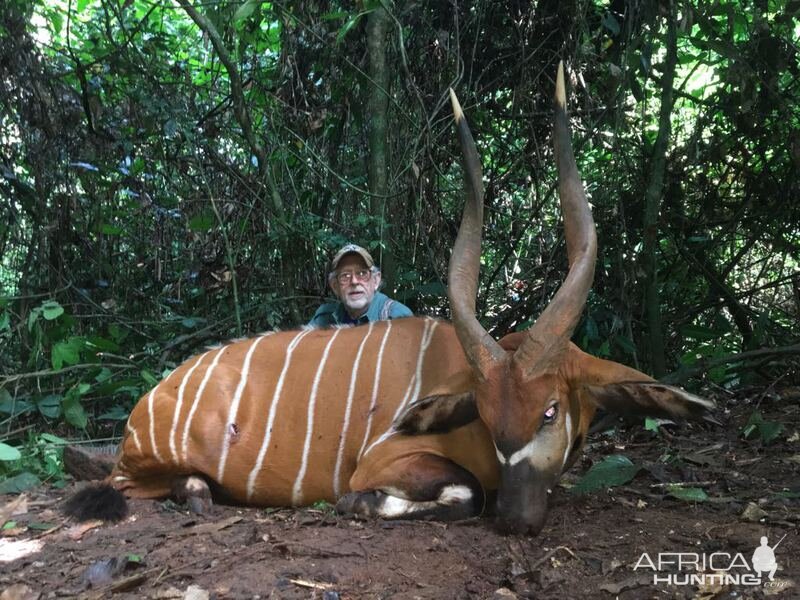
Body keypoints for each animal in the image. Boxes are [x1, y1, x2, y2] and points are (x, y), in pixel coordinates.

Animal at [64, 64, 712, 536]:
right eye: (485, 412)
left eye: (549, 410)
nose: (517, 521)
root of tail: (149, 401)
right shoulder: (383, 461)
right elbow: (462, 493)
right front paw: (360, 505)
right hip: (142, 466)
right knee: (127, 486)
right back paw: (197, 495)